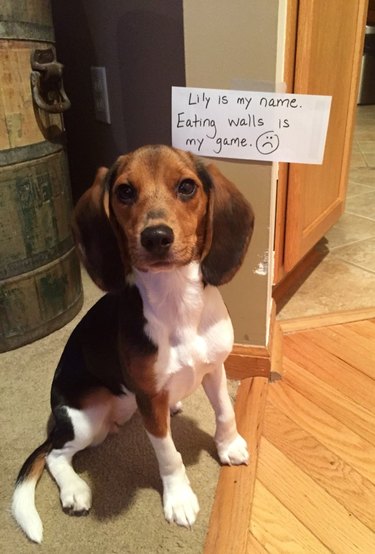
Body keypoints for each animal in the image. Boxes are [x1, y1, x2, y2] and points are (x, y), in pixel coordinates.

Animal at [11, 144, 256, 540]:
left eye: (187, 187)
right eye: (125, 192)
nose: (156, 236)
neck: (176, 299)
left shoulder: (214, 368)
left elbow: (225, 412)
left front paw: (229, 446)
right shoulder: (150, 399)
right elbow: (169, 454)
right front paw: (179, 499)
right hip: (86, 420)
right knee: (55, 455)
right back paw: (74, 489)